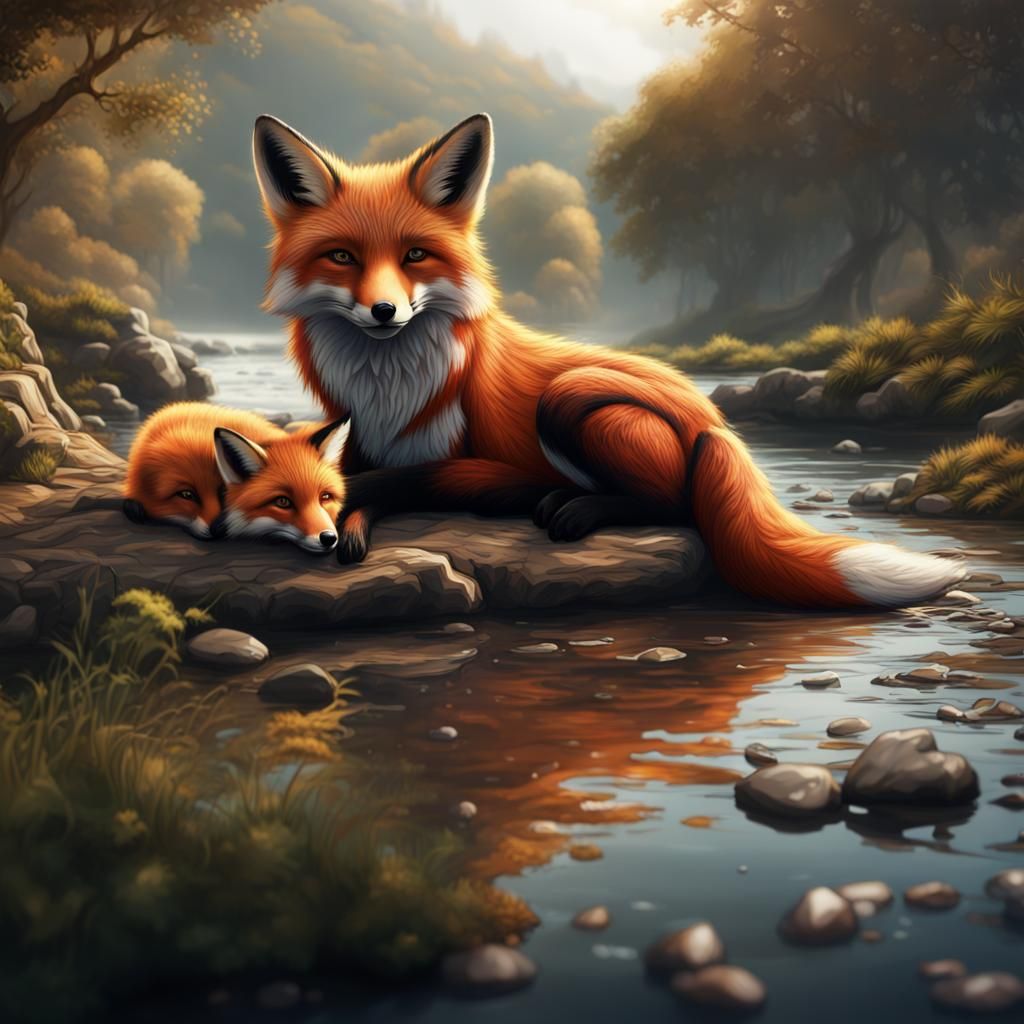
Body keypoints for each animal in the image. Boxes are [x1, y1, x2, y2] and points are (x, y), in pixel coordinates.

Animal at [251, 112, 966, 607]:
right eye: (343, 257)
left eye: (415, 256)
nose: (384, 312)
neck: (390, 392)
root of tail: (713, 421)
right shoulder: (367, 443)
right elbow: (362, 484)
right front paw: (343, 523)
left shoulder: (469, 460)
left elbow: (397, 483)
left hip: (569, 398)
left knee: (673, 507)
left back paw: (579, 508)